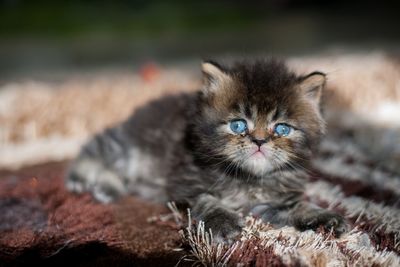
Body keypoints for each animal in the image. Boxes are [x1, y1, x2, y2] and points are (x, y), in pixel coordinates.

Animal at [66, 58, 346, 241]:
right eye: (238, 125)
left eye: (282, 129)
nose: (259, 141)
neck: (248, 178)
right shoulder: (185, 184)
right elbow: (207, 200)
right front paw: (224, 222)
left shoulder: (274, 202)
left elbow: (299, 207)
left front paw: (325, 216)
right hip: (126, 145)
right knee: (96, 151)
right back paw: (86, 181)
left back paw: (107, 187)